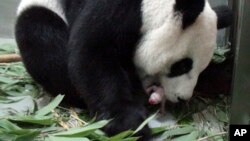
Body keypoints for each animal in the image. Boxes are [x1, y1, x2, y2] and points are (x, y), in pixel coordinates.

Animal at [14, 0, 231, 140]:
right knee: (43, 38)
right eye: (182, 65)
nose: (181, 97)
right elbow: (92, 54)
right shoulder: (116, 10)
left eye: (199, 68)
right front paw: (130, 123)